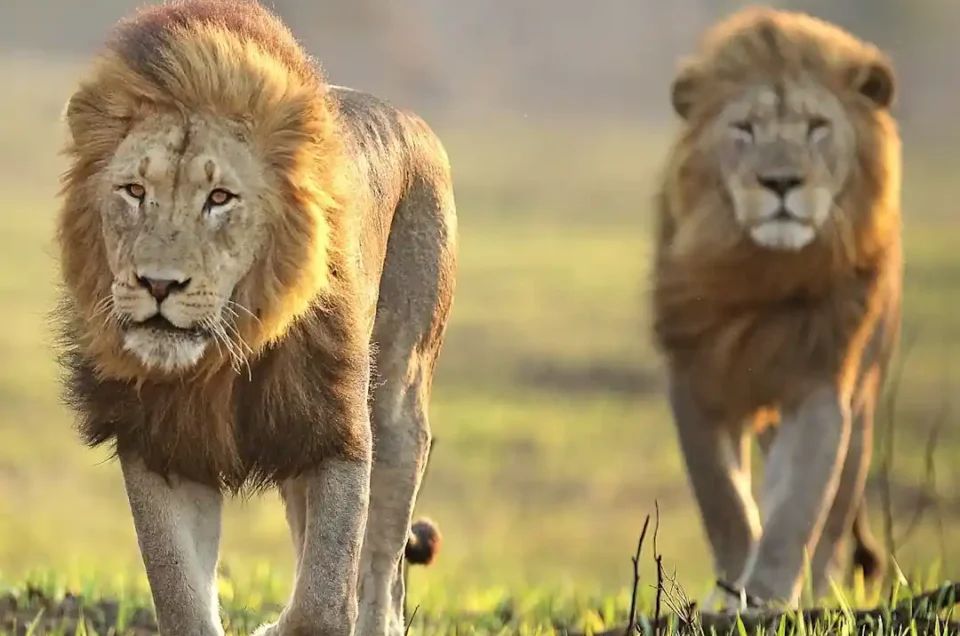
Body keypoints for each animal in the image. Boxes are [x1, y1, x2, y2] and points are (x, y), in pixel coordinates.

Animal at [53, 1, 456, 634]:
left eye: (219, 198)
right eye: (134, 191)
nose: (158, 284)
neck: (223, 354)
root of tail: (414, 119)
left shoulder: (336, 426)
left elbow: (322, 601)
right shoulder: (163, 441)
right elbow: (181, 595)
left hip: (399, 404)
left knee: (382, 577)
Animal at [648, 7, 902, 608]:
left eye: (817, 126)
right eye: (744, 128)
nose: (781, 182)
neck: (761, 271)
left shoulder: (820, 384)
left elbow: (799, 507)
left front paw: (767, 597)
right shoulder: (695, 377)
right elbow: (724, 500)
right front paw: (729, 592)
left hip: (864, 402)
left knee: (836, 512)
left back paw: (821, 592)